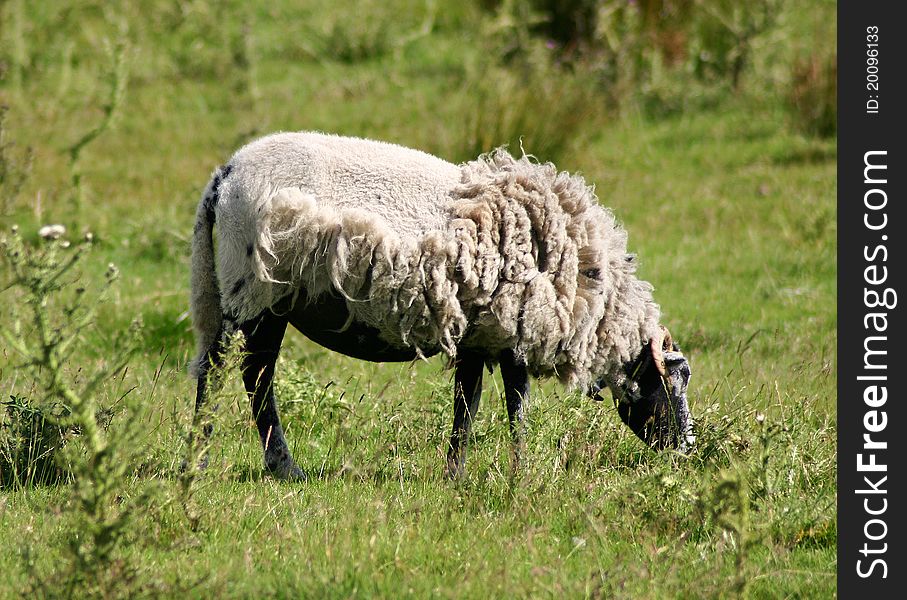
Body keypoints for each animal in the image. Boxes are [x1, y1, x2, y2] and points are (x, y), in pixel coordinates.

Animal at [188, 134, 692, 480]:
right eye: (672, 382)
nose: (688, 450)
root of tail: (226, 175)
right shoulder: (507, 331)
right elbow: (504, 406)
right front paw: (507, 473)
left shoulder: (485, 334)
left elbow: (478, 405)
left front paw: (467, 473)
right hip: (252, 290)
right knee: (224, 374)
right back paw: (204, 460)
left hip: (265, 299)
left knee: (253, 375)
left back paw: (276, 466)